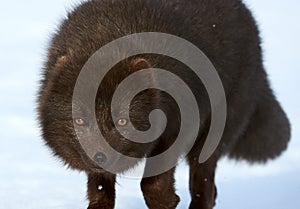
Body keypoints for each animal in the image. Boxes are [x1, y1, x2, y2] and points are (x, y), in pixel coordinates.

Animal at [36, 0, 290, 208]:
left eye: (122, 121)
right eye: (79, 120)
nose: (99, 157)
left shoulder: (180, 125)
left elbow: (153, 185)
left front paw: (168, 200)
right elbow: (100, 194)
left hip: (216, 130)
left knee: (203, 183)